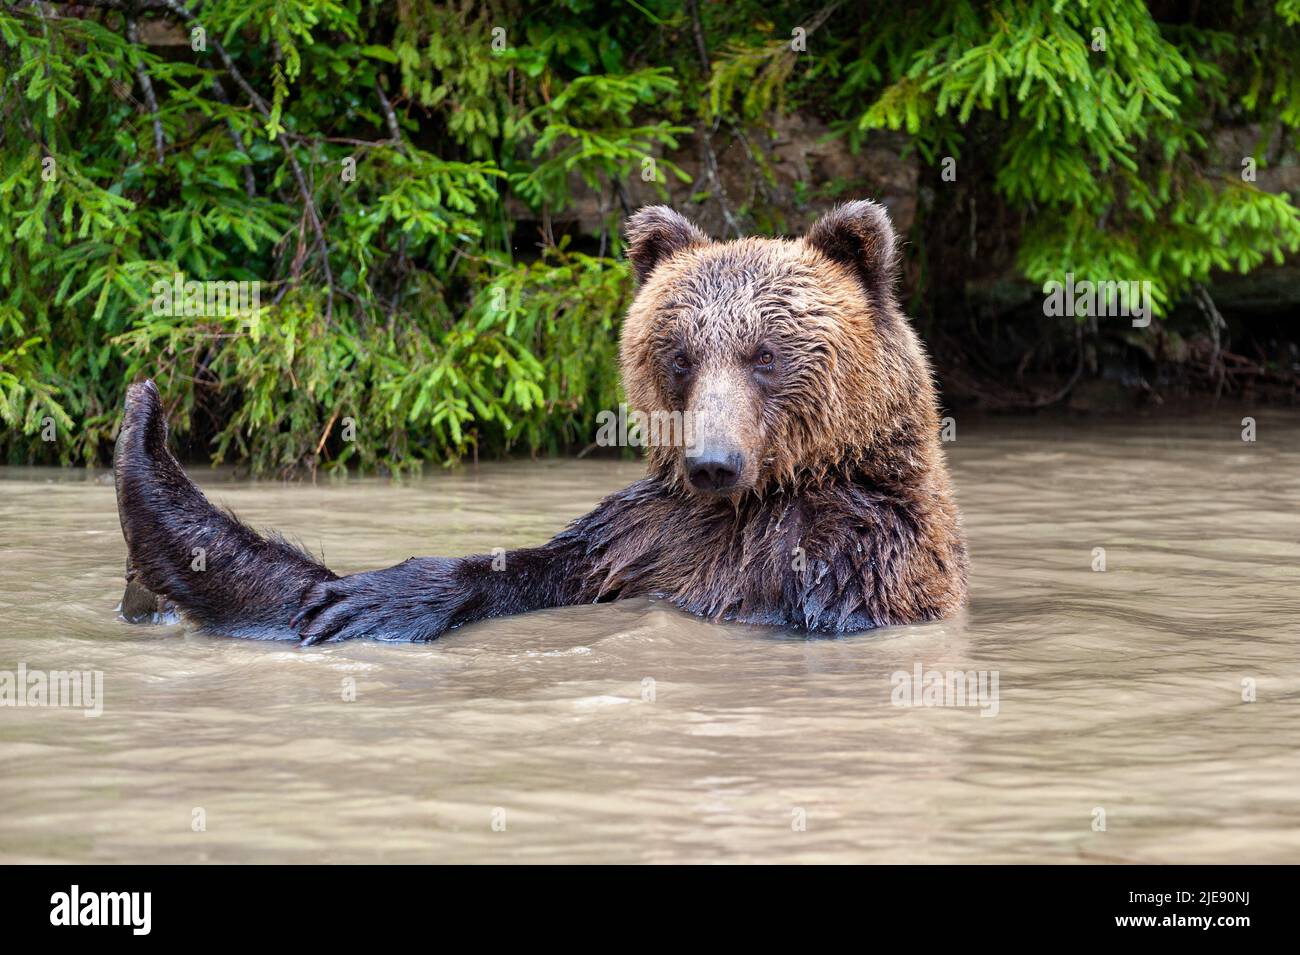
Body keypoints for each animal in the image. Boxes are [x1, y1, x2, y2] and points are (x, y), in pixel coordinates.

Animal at [112, 201, 968, 644]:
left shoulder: (853, 549)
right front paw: (370, 596)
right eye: (681, 355)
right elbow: (532, 568)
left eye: (765, 353)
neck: (761, 499)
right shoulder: (647, 533)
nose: (713, 462)